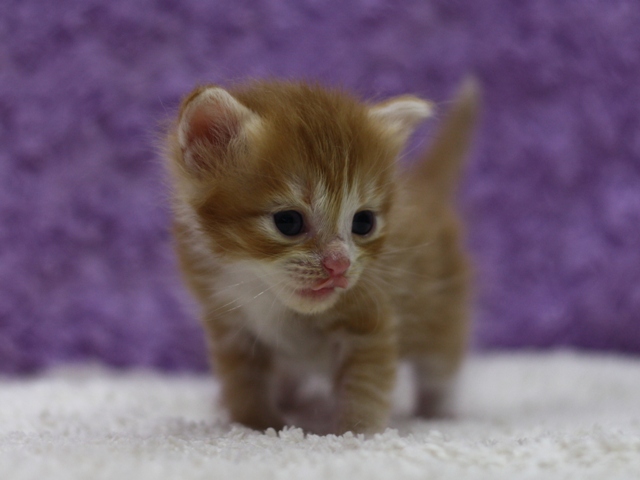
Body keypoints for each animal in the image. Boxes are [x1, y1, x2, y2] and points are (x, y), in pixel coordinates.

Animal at [168, 79, 478, 436]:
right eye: (288, 222)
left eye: (363, 222)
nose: (339, 265)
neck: (269, 297)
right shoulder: (230, 325)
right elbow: (243, 382)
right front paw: (258, 425)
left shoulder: (370, 318)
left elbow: (365, 386)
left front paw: (354, 434)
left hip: (443, 312)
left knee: (441, 369)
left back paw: (438, 412)